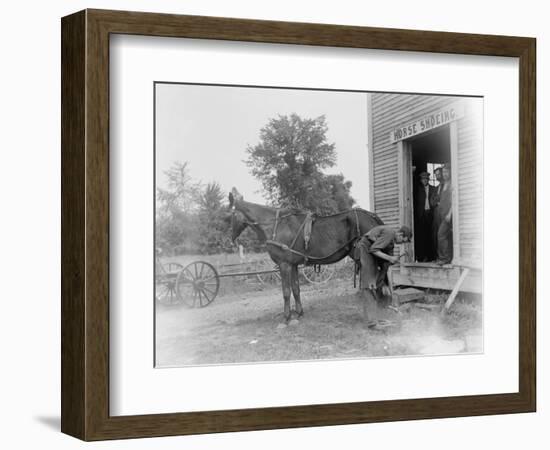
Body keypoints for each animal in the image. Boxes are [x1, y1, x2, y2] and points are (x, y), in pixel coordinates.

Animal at [229, 189, 384, 324]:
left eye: (229, 216)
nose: (231, 239)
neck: (277, 225)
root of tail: (371, 215)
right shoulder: (293, 265)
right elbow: (296, 289)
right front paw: (299, 312)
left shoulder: (284, 265)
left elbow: (286, 291)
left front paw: (287, 317)